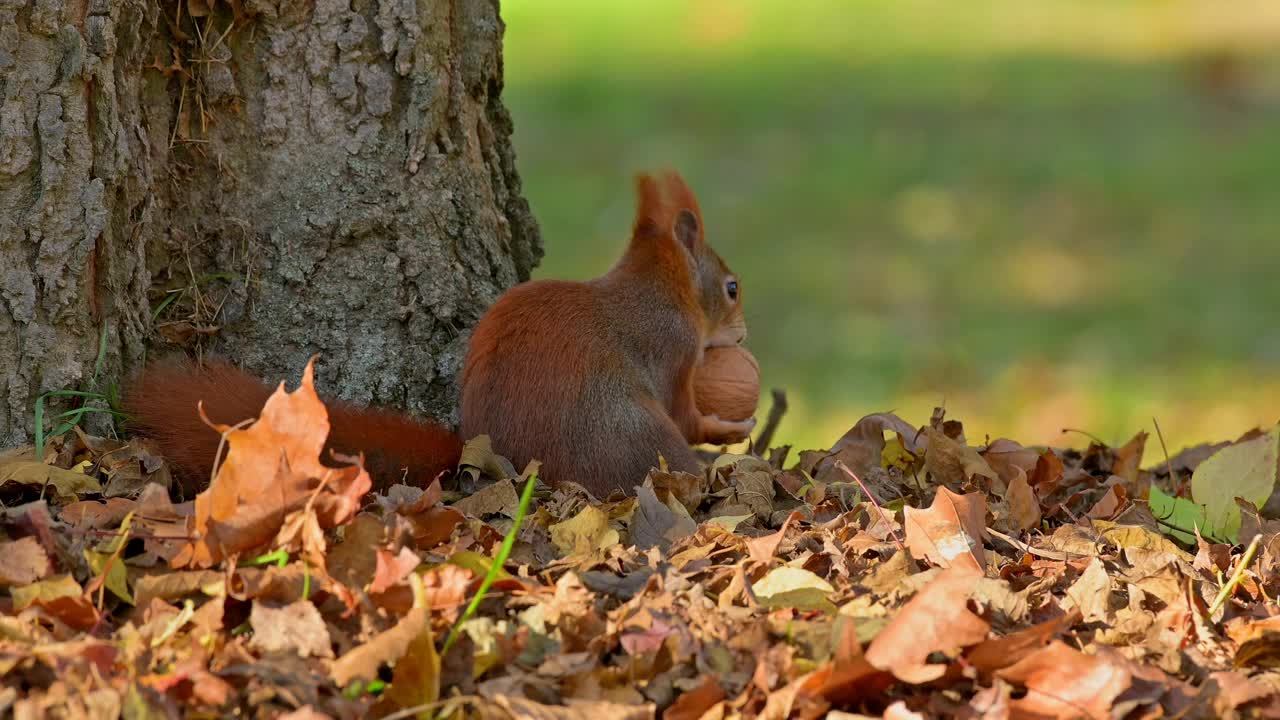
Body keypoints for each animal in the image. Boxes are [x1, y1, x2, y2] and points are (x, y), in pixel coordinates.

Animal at [124, 170, 747, 497]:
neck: (658, 288)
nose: (743, 336)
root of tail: (505, 463)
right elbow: (687, 414)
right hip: (637, 437)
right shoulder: (670, 351)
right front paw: (728, 428)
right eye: (733, 287)